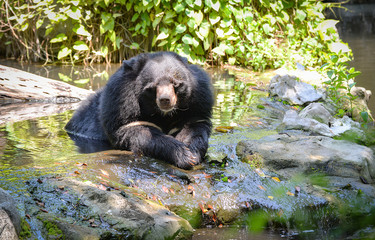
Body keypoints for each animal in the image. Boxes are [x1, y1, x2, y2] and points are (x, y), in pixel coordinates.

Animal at [65, 51, 214, 170]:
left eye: (175, 84)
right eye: (153, 87)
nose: (165, 100)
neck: (164, 114)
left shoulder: (198, 103)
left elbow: (195, 127)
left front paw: (192, 154)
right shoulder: (121, 104)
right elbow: (137, 131)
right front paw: (182, 155)